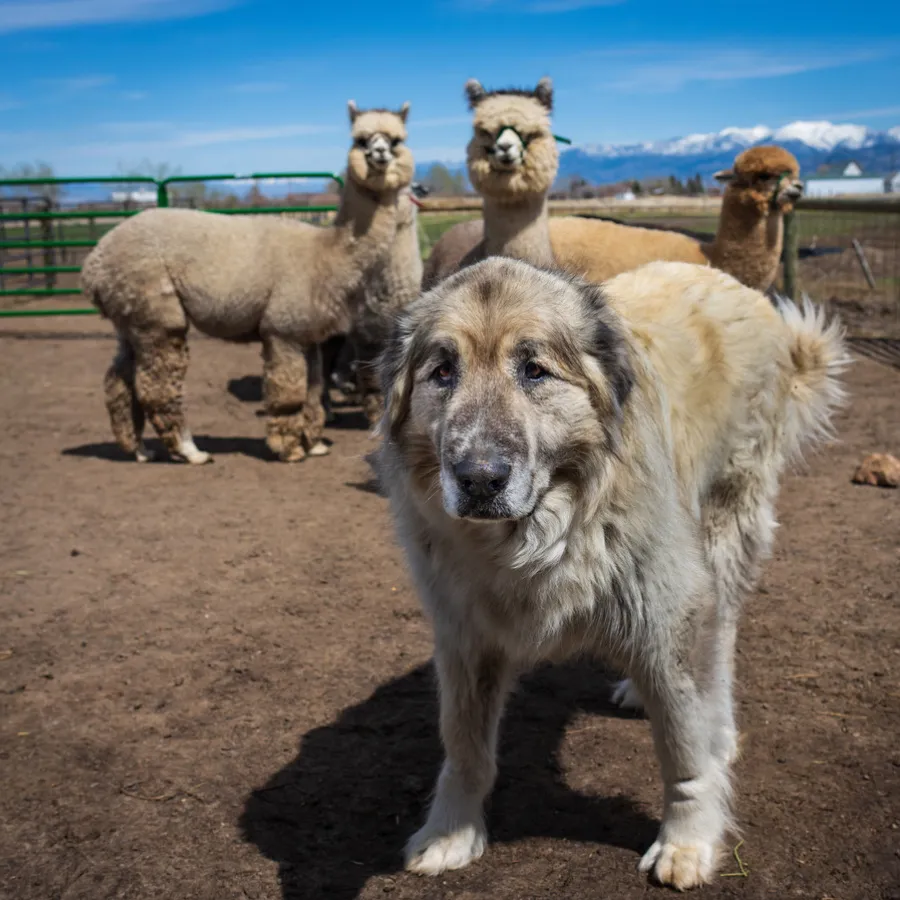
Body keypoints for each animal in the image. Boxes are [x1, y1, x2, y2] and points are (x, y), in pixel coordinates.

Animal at [376, 256, 848, 888]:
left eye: (534, 370)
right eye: (443, 371)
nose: (478, 479)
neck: (546, 533)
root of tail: (731, 282)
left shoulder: (668, 615)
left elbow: (684, 747)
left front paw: (688, 841)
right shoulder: (466, 636)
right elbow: (465, 744)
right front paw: (451, 832)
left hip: (724, 531)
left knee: (720, 635)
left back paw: (720, 727)